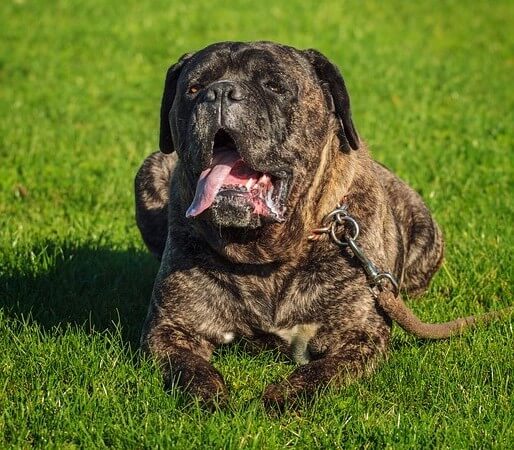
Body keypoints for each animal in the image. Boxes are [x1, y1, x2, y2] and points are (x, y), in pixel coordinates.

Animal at [133, 42, 492, 408]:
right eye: (193, 89)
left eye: (274, 86)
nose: (219, 92)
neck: (266, 253)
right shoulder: (170, 327)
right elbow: (189, 368)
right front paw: (211, 396)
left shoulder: (360, 335)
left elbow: (322, 372)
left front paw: (283, 395)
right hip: (151, 168)